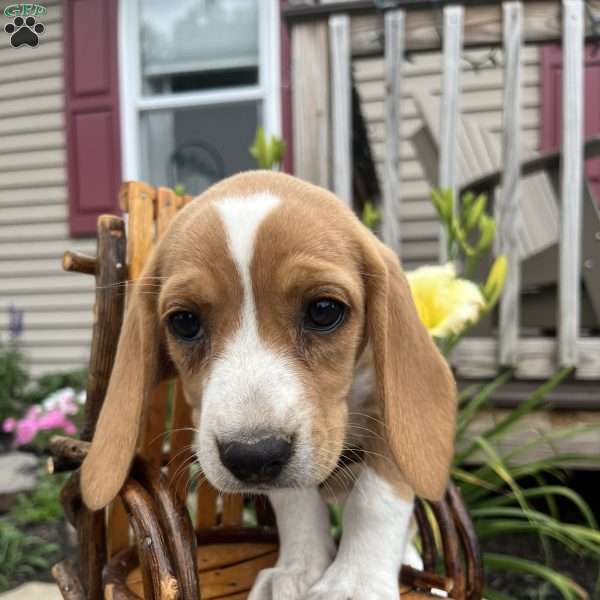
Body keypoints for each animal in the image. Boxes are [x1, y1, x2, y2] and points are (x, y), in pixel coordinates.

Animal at [79, 171, 454, 596]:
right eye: (184, 322)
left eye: (324, 311)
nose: (253, 456)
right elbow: (296, 503)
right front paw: (298, 570)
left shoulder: (390, 420)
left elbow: (375, 500)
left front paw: (354, 584)